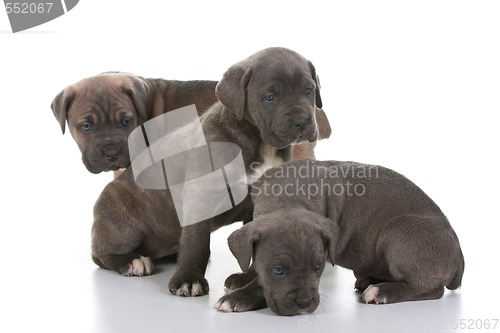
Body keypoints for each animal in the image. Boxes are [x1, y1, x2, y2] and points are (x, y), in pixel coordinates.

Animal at [91, 46, 324, 296]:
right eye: (270, 97)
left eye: (308, 90)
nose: (301, 121)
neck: (259, 141)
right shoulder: (199, 194)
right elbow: (197, 241)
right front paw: (188, 279)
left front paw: (247, 279)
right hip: (117, 214)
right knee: (102, 254)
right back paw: (132, 261)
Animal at [215, 158, 464, 314]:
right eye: (277, 271)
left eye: (318, 267)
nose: (304, 303)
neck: (287, 197)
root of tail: (459, 254)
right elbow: (253, 262)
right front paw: (243, 277)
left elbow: (260, 284)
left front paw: (239, 297)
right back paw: (370, 281)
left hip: (399, 231)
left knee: (430, 288)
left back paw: (380, 291)